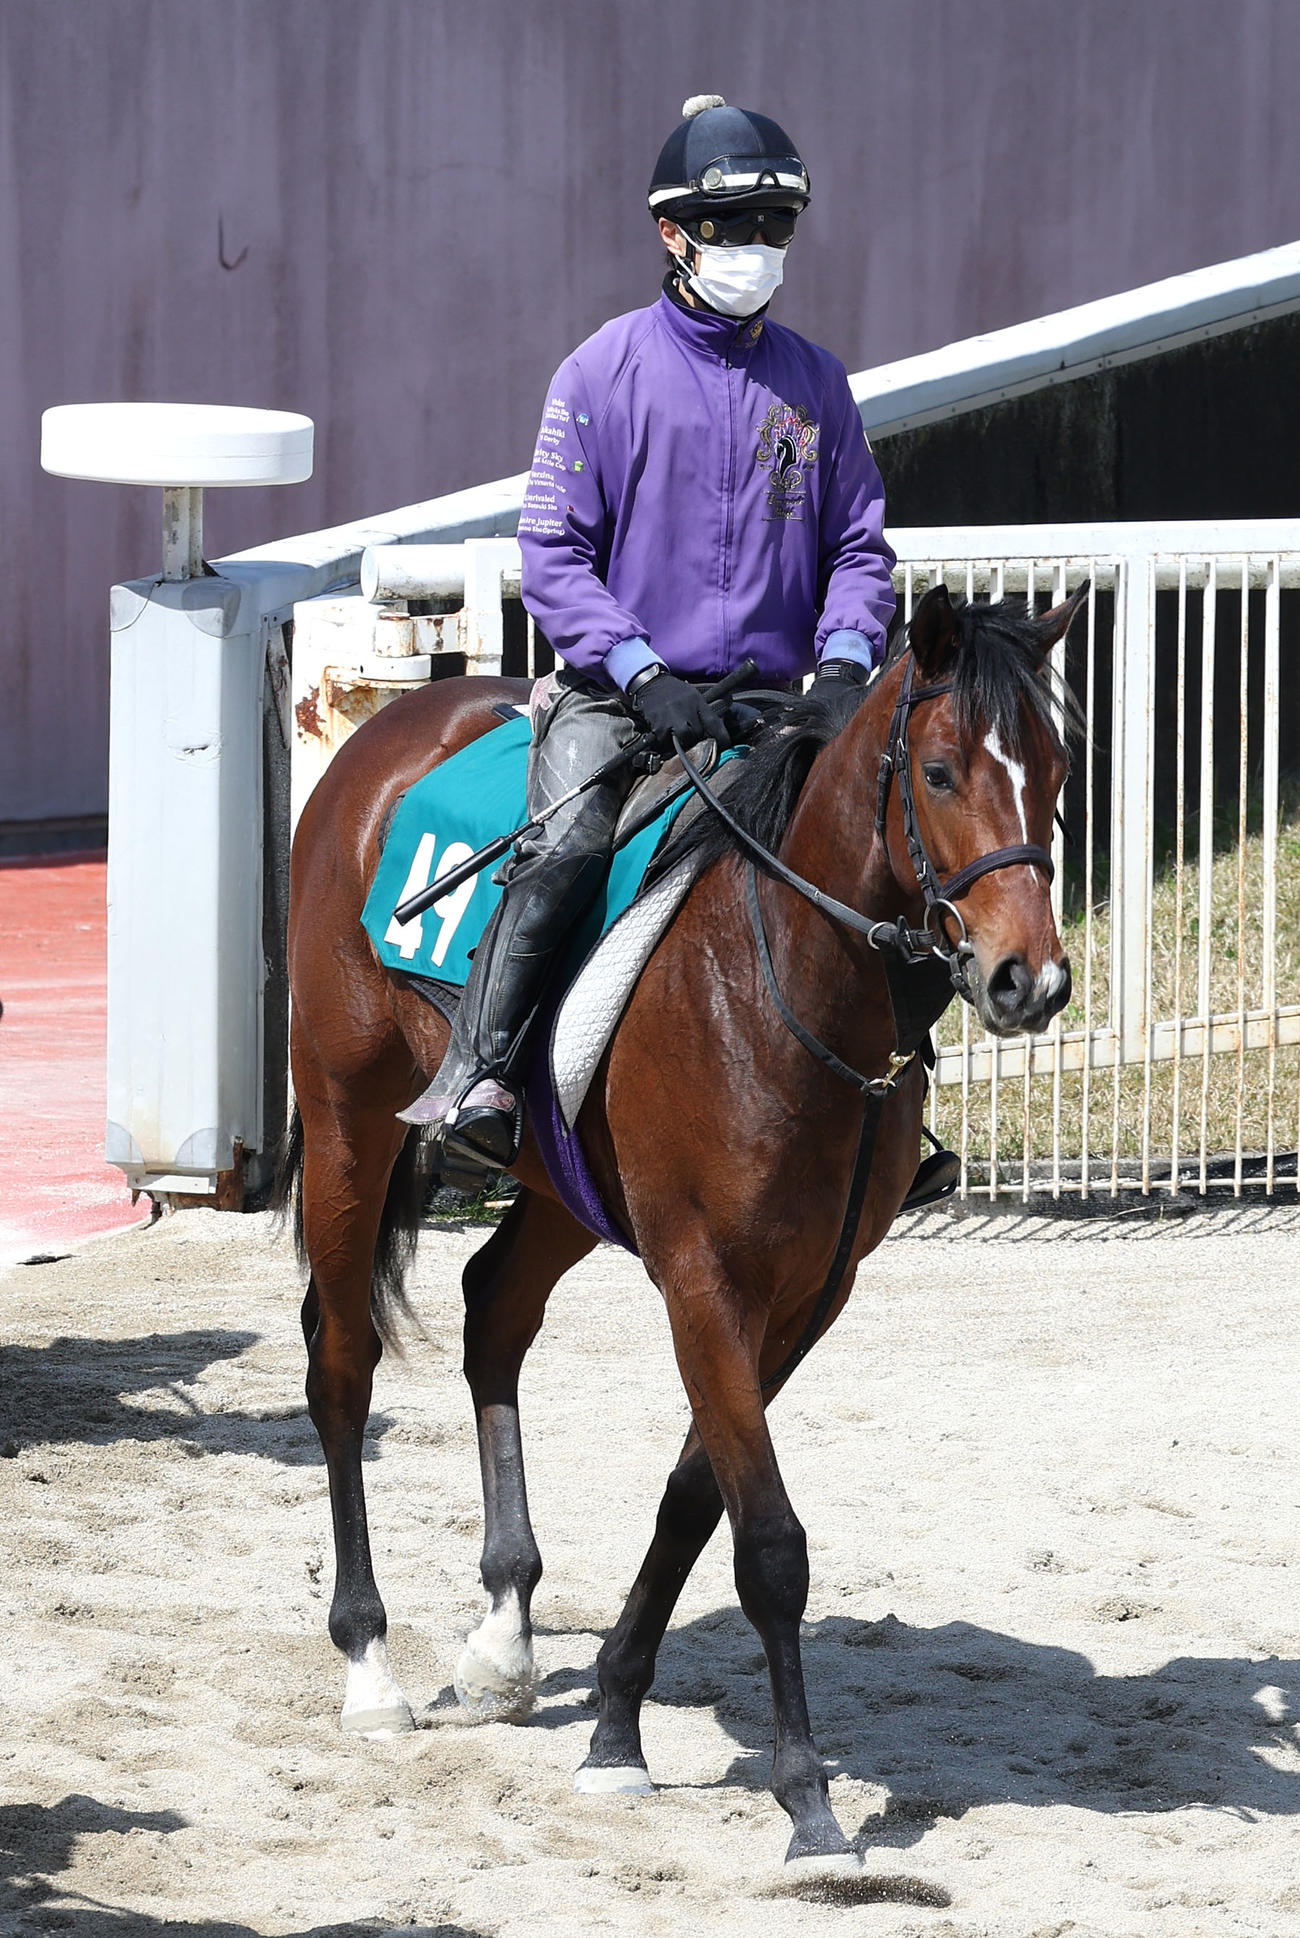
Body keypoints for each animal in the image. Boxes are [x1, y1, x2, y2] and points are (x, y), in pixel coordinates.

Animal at [279, 581, 1083, 1879]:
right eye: (941, 770)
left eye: (1053, 769)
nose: (1029, 981)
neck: (784, 988)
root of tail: (388, 730)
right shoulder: (704, 1277)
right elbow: (769, 1544)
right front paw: (808, 1804)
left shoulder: (806, 1295)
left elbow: (695, 1499)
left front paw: (614, 1721)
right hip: (348, 1119)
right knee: (343, 1367)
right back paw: (368, 1663)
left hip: (559, 1184)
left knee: (492, 1311)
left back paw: (504, 1637)